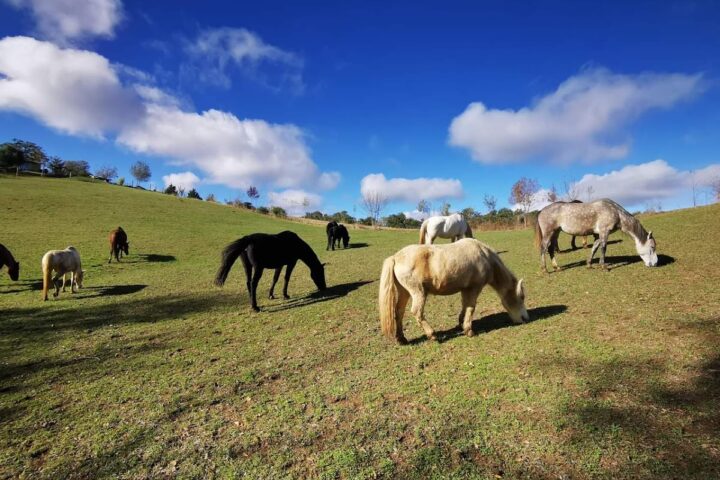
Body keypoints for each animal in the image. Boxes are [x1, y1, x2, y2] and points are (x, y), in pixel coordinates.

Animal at [379, 238, 528, 344]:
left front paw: (460, 323)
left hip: (404, 292)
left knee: (398, 312)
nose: (525, 319)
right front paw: (468, 330)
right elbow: (471, 307)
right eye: (521, 297)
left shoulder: (466, 289)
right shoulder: (475, 287)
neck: (485, 256)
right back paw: (432, 335)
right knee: (417, 312)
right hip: (418, 292)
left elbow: (465, 305)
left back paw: (401, 339)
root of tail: (395, 257)